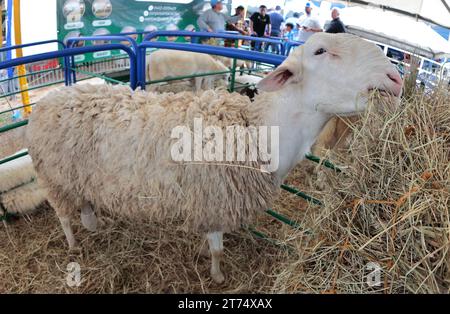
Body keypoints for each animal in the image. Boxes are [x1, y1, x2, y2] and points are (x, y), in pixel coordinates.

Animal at [26, 33, 402, 284]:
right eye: (321, 51)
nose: (396, 78)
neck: (258, 130)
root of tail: (49, 98)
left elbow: (210, 244)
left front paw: (204, 256)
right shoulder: (217, 201)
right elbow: (219, 250)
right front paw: (218, 277)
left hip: (78, 177)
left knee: (85, 205)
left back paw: (95, 225)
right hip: (53, 177)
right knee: (64, 217)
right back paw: (74, 245)